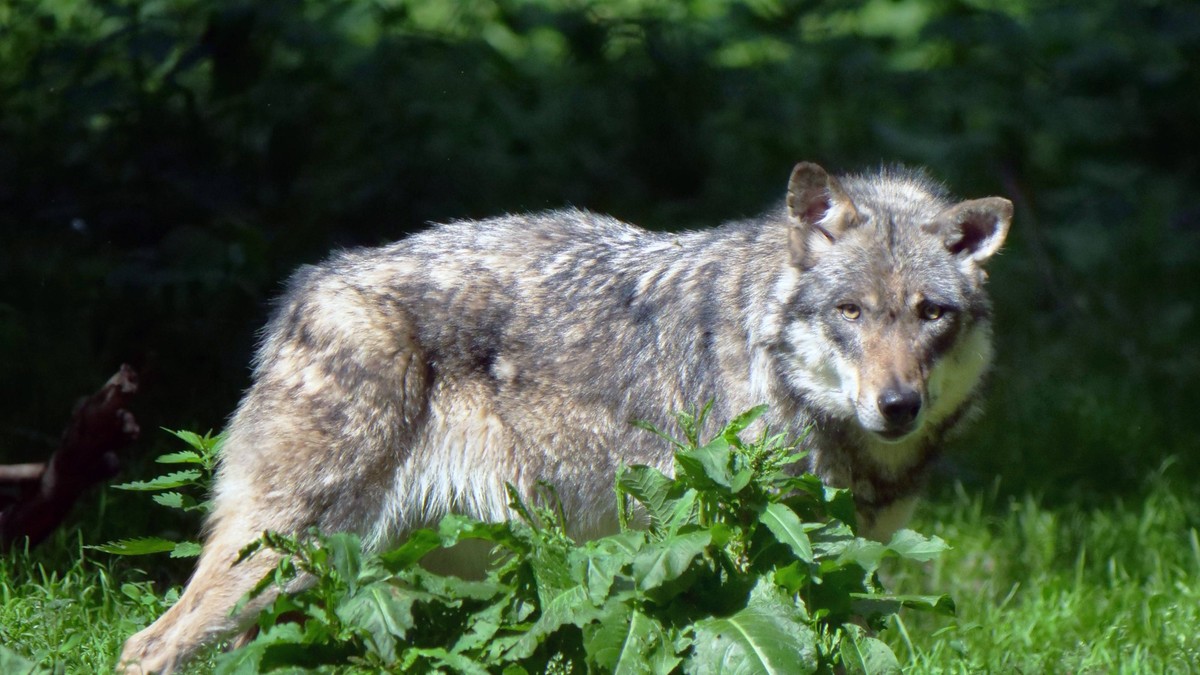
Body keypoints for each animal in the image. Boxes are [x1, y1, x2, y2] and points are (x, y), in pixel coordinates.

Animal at [118, 162, 1010, 672]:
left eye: (930, 314)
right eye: (850, 311)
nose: (896, 404)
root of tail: (309, 285)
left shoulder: (839, 566)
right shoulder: (724, 548)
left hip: (319, 578)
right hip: (281, 557)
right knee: (145, 647)